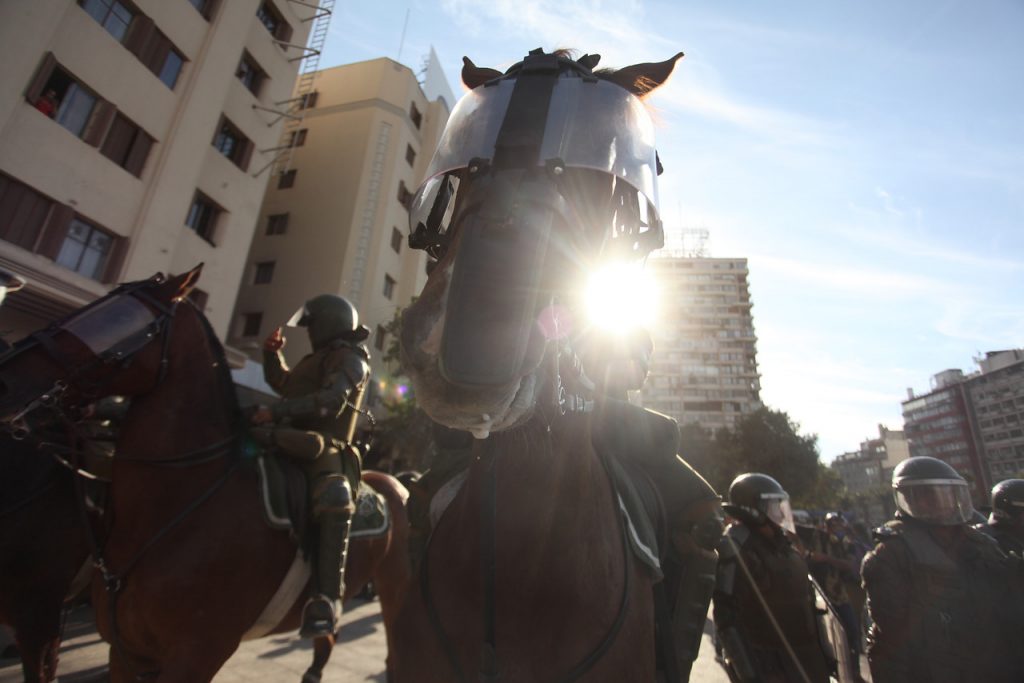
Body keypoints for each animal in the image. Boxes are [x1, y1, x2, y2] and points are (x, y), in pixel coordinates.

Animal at [0, 268, 411, 683]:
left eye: (119, 321)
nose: (9, 376)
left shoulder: (194, 653)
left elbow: (331, 395)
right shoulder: (124, 649)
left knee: (334, 504)